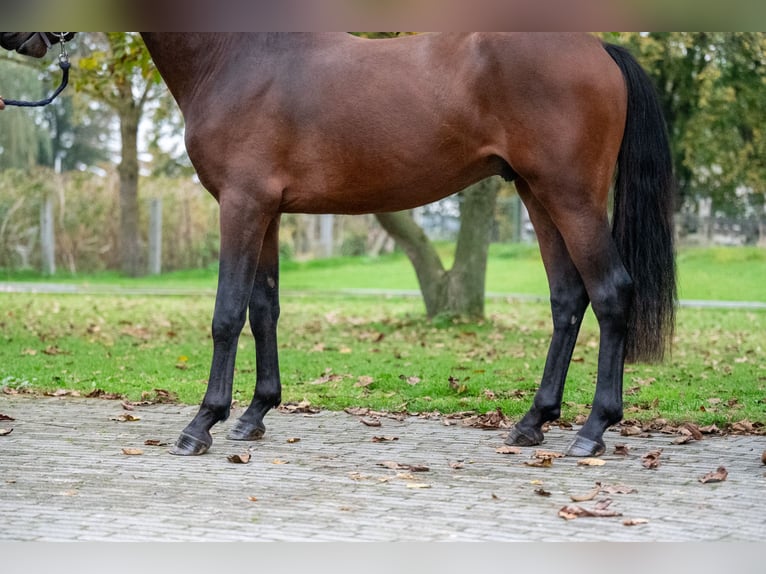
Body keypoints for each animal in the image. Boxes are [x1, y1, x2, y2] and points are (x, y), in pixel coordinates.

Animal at [4, 35, 680, 460]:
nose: (20, 39)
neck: (238, 57)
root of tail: (599, 49)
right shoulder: (267, 212)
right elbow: (264, 308)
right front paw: (254, 416)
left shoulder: (240, 204)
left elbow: (226, 314)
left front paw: (202, 424)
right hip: (538, 196)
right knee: (567, 299)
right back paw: (532, 423)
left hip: (571, 196)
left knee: (610, 293)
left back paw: (592, 430)